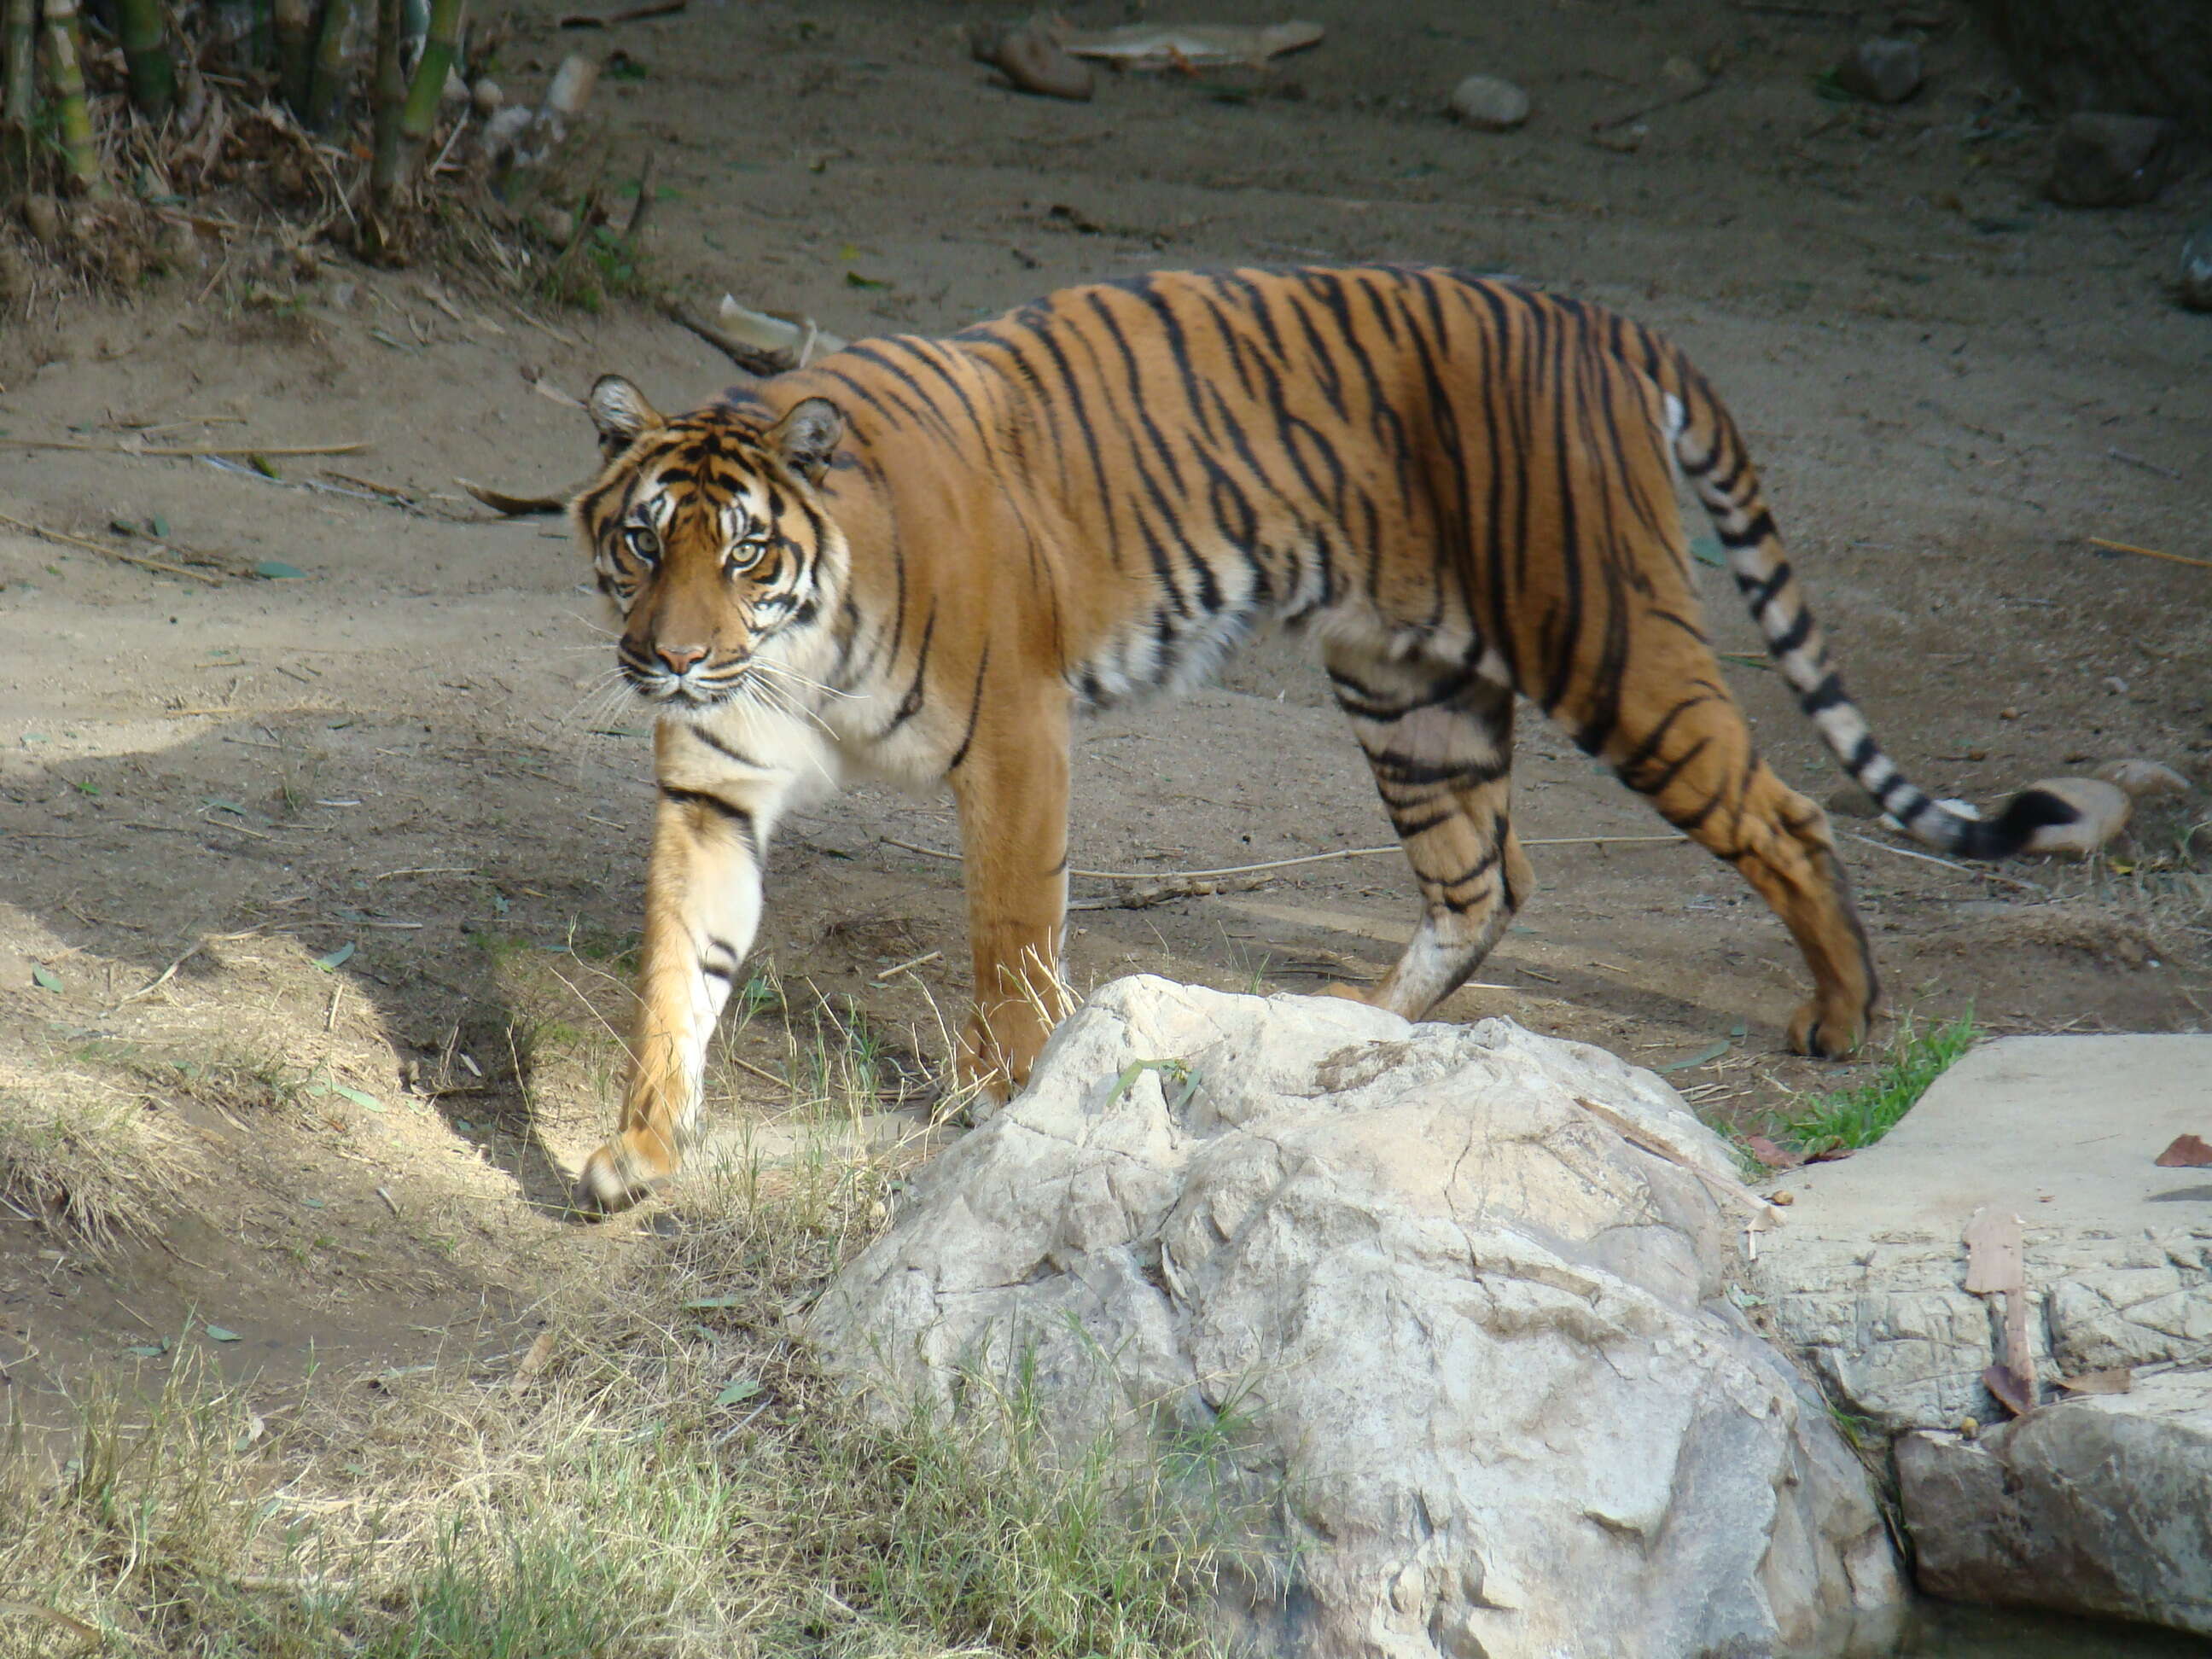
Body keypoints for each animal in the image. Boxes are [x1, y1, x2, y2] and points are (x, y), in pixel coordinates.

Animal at [562, 263, 2097, 1220]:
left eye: (744, 553)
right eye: (643, 542)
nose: (668, 658)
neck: (790, 651)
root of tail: (1602, 322)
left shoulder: (1014, 741)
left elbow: (1010, 942)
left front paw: (1003, 1099)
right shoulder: (714, 787)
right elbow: (678, 966)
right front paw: (636, 1146)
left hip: (1609, 648)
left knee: (1786, 813)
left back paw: (1842, 1014)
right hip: (1409, 687)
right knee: (1484, 876)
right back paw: (1357, 1030)